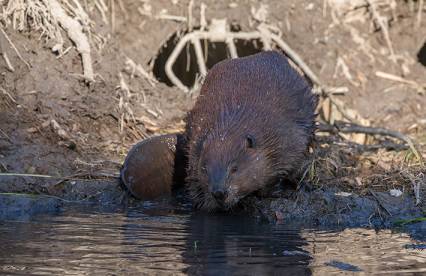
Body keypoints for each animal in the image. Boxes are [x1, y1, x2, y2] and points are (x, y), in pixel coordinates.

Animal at [120, 50, 316, 211]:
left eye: (234, 168)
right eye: (205, 168)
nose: (219, 192)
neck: (231, 122)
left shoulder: (285, 136)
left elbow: (285, 166)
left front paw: (280, 190)